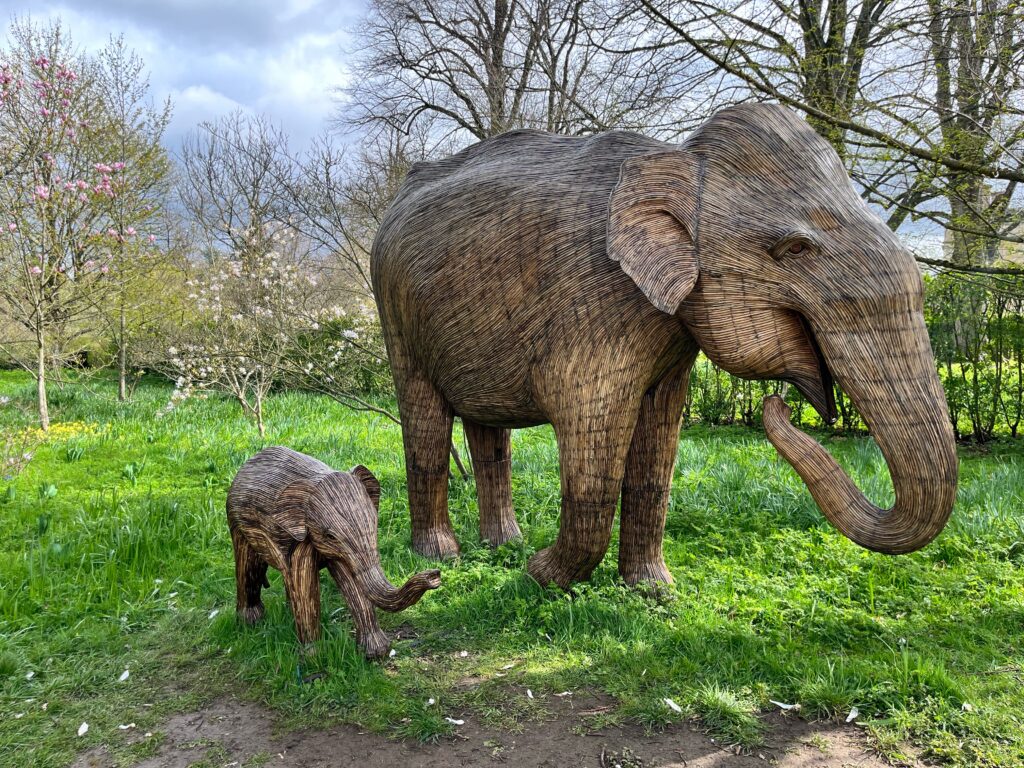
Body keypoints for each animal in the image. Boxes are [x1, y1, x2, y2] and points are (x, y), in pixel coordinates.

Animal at [227, 446, 441, 658]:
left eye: (374, 523)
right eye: (330, 536)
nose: (435, 576)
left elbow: (351, 580)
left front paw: (375, 653)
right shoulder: (302, 539)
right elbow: (304, 584)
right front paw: (315, 656)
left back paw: (286, 612)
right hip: (237, 524)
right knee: (249, 565)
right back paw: (251, 623)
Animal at [370, 103, 958, 590]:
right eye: (794, 248)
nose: (778, 407)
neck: (679, 159)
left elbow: (659, 447)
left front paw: (652, 591)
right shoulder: (593, 307)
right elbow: (590, 432)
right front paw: (542, 577)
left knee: (488, 433)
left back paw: (502, 546)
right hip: (394, 310)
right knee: (425, 421)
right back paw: (442, 556)